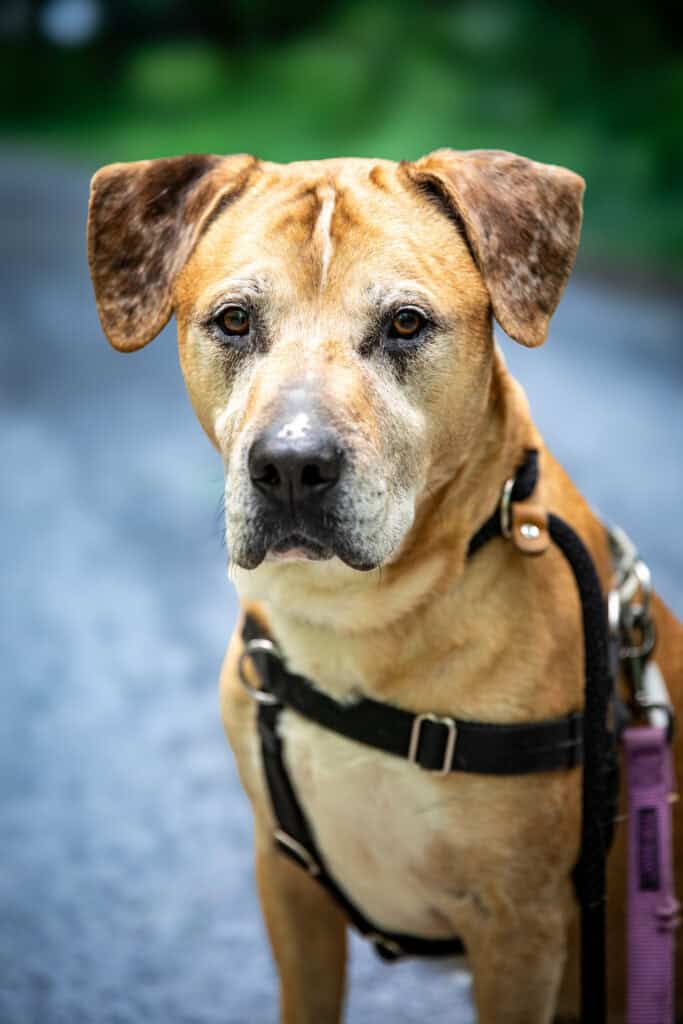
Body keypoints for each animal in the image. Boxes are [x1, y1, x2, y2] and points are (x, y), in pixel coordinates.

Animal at [87, 149, 683, 1023]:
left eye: (405, 323)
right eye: (234, 320)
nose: (291, 466)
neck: (352, 619)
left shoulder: (520, 927)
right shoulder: (288, 886)